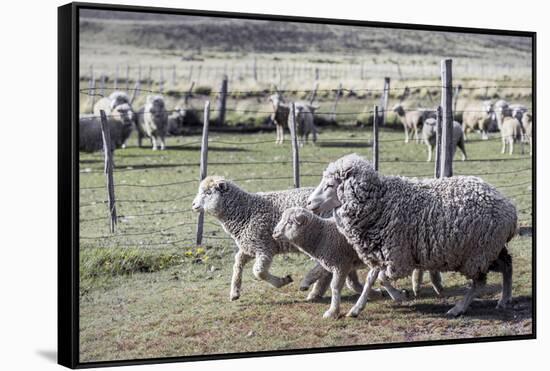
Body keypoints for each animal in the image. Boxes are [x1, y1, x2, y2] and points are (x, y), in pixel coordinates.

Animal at [192, 177, 360, 302]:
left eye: (208, 192)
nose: (193, 205)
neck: (245, 212)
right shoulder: (249, 247)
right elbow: (238, 263)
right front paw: (235, 292)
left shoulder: (264, 247)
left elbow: (258, 272)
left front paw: (283, 281)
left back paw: (314, 290)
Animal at [308, 153, 520, 316]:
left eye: (330, 185)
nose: (309, 203)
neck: (380, 203)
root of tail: (509, 208)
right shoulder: (380, 253)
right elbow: (370, 279)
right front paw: (356, 309)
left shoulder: (398, 257)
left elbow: (382, 278)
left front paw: (400, 296)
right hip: (490, 249)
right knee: (507, 265)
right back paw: (504, 299)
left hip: (477, 254)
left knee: (480, 283)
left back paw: (458, 308)